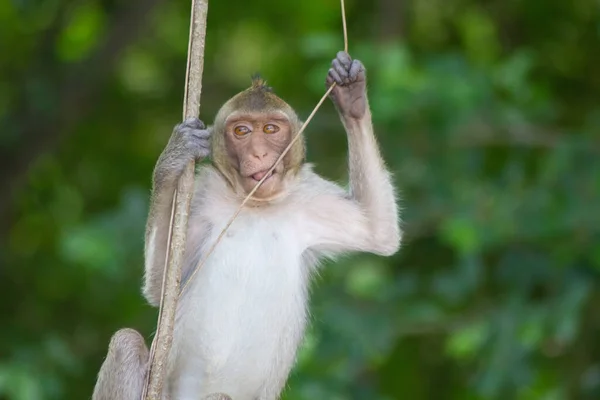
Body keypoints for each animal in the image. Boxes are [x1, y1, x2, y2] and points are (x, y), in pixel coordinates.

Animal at [94, 50, 400, 400]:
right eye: (242, 131)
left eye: (269, 129)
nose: (259, 153)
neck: (256, 204)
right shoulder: (203, 195)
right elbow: (160, 288)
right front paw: (173, 158)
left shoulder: (308, 199)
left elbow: (378, 230)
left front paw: (351, 95)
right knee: (126, 341)